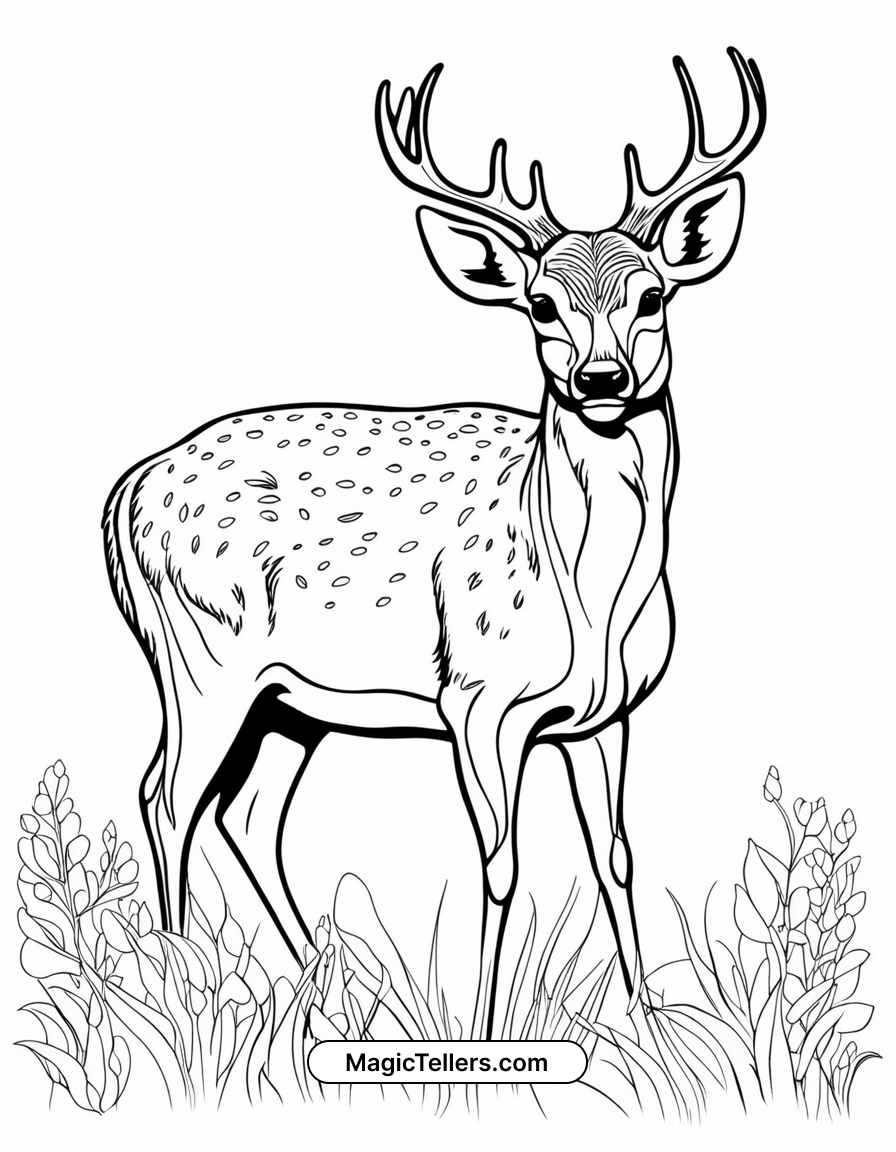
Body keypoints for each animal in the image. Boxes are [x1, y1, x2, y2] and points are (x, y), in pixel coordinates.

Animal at [103, 48, 765, 1039]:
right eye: (540, 304)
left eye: (653, 295)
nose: (600, 379)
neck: (591, 600)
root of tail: (125, 491)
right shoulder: (477, 701)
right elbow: (501, 863)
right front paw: (484, 1032)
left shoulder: (607, 714)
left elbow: (615, 853)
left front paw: (650, 1021)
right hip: (198, 658)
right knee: (168, 797)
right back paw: (184, 990)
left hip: (291, 701)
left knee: (248, 814)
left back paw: (333, 992)